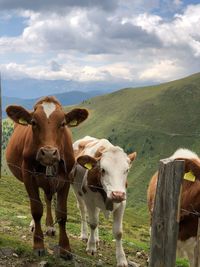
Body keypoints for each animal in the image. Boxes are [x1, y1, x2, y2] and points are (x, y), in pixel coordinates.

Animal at [5, 96, 88, 260]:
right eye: (33, 122)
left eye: (62, 124)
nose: (49, 153)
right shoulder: (28, 176)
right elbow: (36, 209)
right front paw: (38, 244)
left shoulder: (66, 180)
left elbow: (62, 214)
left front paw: (65, 248)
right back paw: (34, 225)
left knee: (48, 199)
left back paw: (50, 227)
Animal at [69, 137, 137, 266]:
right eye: (103, 170)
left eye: (126, 170)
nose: (117, 194)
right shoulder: (89, 200)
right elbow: (93, 223)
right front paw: (91, 247)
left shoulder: (122, 204)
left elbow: (118, 232)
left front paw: (121, 259)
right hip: (77, 192)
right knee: (82, 211)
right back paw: (85, 235)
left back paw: (96, 238)